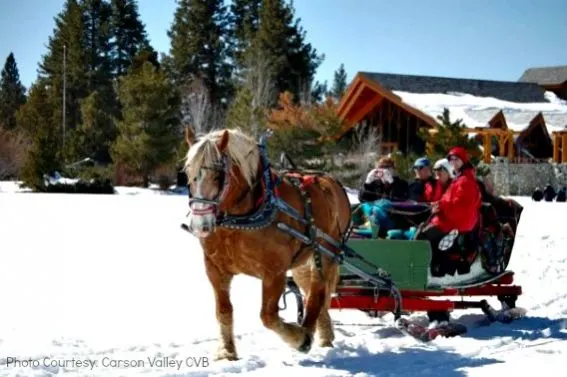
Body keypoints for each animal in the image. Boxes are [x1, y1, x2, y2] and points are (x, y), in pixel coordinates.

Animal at [184, 128, 352, 360]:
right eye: (187, 172)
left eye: (219, 174)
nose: (200, 225)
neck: (241, 220)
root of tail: (332, 182)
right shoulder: (215, 269)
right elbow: (224, 311)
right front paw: (227, 352)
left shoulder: (274, 272)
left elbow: (268, 316)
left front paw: (298, 338)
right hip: (304, 261)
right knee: (311, 291)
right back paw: (324, 335)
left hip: (327, 252)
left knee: (317, 291)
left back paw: (307, 334)